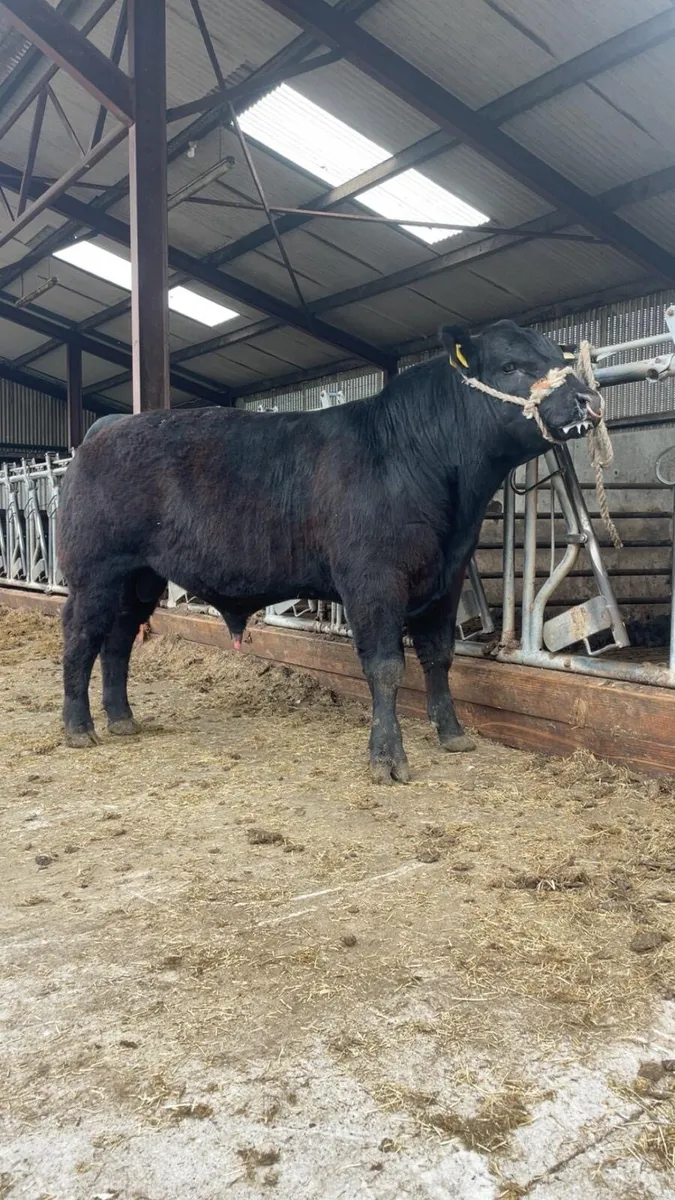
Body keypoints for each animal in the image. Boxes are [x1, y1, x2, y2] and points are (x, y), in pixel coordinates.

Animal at [57, 320, 602, 781]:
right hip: (95, 572)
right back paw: (79, 728)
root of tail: (108, 426)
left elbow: (438, 656)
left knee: (118, 640)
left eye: (556, 355)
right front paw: (387, 758)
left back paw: (122, 719)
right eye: (510, 366)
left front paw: (452, 734)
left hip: (138, 577)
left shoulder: (446, 576)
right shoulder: (373, 579)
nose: (587, 400)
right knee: (82, 638)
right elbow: (386, 666)